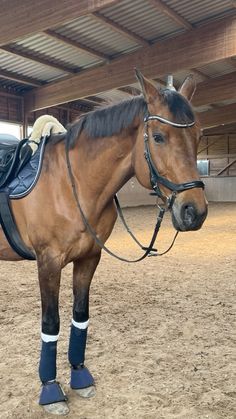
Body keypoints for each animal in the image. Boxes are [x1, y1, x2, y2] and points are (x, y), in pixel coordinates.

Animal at [0, 70, 206, 416]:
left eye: (198, 135)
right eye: (158, 137)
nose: (195, 211)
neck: (73, 184)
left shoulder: (89, 258)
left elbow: (80, 316)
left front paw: (80, 375)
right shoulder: (48, 262)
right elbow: (51, 324)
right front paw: (51, 391)